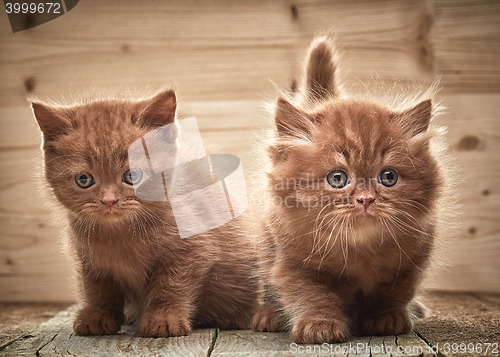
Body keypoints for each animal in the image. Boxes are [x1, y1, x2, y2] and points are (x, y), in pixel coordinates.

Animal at [32, 89, 258, 336]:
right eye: (84, 179)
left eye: (132, 176)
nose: (109, 200)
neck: (121, 234)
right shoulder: (89, 257)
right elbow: (97, 288)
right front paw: (97, 316)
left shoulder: (192, 248)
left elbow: (171, 285)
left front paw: (164, 319)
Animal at [254, 36, 446, 342]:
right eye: (337, 178)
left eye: (388, 177)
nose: (365, 199)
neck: (359, 249)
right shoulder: (293, 264)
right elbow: (310, 295)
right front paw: (319, 325)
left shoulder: (411, 261)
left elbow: (393, 293)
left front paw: (387, 317)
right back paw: (269, 314)